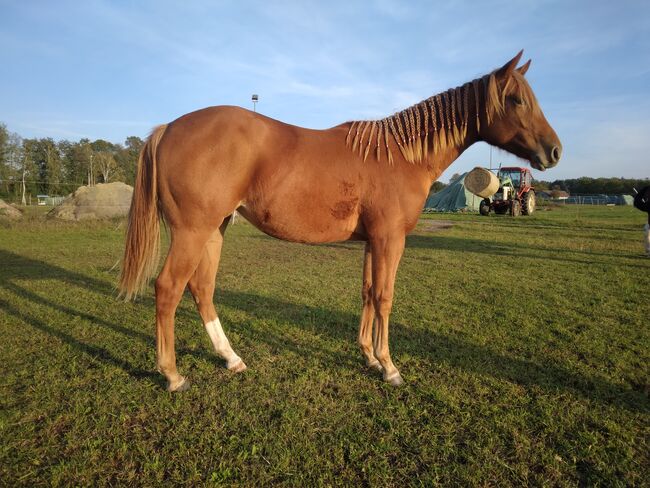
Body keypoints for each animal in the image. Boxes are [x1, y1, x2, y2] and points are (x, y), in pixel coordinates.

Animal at [119, 51, 560, 390]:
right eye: (517, 100)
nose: (554, 151)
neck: (400, 156)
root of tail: (168, 128)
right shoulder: (389, 240)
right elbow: (384, 296)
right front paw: (390, 367)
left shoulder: (372, 241)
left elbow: (366, 293)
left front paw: (368, 357)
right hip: (192, 231)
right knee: (168, 289)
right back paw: (173, 375)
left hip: (215, 228)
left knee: (202, 289)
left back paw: (231, 359)